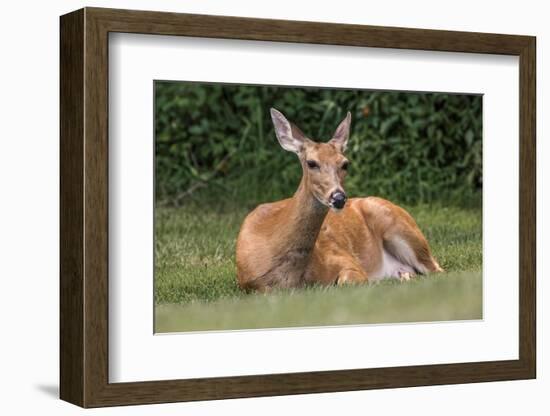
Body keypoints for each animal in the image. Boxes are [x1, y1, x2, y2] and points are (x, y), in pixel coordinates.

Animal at [237, 107, 444, 292]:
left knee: (437, 270)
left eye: (345, 164)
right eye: (311, 163)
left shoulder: (346, 260)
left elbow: (346, 281)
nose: (338, 197)